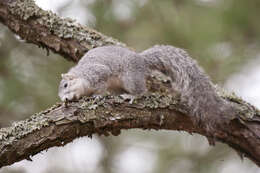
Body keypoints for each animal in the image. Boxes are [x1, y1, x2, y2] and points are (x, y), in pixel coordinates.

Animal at [58, 45, 231, 129]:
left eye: (66, 85)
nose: (64, 99)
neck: (81, 76)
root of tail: (142, 61)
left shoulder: (97, 73)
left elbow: (100, 86)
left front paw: (98, 96)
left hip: (130, 78)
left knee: (142, 90)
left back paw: (132, 96)